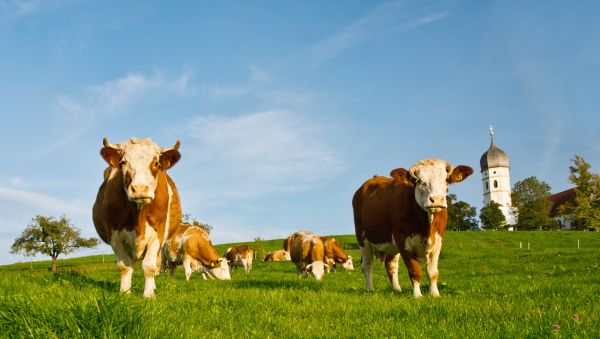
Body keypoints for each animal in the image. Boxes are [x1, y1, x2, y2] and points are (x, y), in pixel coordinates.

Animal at [92, 137, 182, 298]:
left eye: (156, 163)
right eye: (123, 163)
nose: (139, 189)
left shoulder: (158, 232)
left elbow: (149, 266)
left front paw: (149, 295)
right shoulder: (114, 235)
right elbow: (124, 265)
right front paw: (125, 293)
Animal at [352, 159, 474, 298]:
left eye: (446, 180)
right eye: (420, 181)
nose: (436, 199)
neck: (427, 228)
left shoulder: (438, 242)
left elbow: (433, 272)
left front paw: (435, 294)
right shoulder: (402, 241)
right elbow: (415, 270)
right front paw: (417, 295)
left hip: (390, 245)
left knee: (391, 264)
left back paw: (396, 289)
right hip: (362, 238)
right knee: (367, 265)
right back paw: (370, 289)